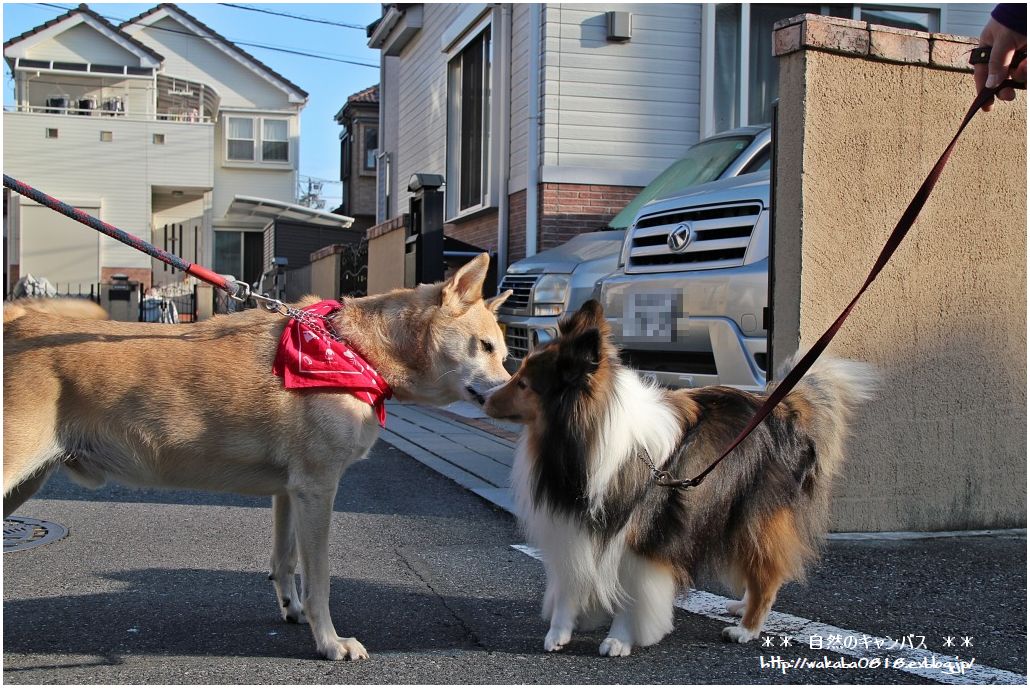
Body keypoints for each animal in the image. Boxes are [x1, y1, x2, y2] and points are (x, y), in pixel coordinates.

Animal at [2, 250, 512, 659]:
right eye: (485, 347)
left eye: (506, 354)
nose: (509, 393)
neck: (352, 349)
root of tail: (18, 323)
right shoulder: (317, 490)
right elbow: (320, 577)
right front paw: (329, 642)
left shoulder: (289, 492)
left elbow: (284, 561)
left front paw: (294, 610)